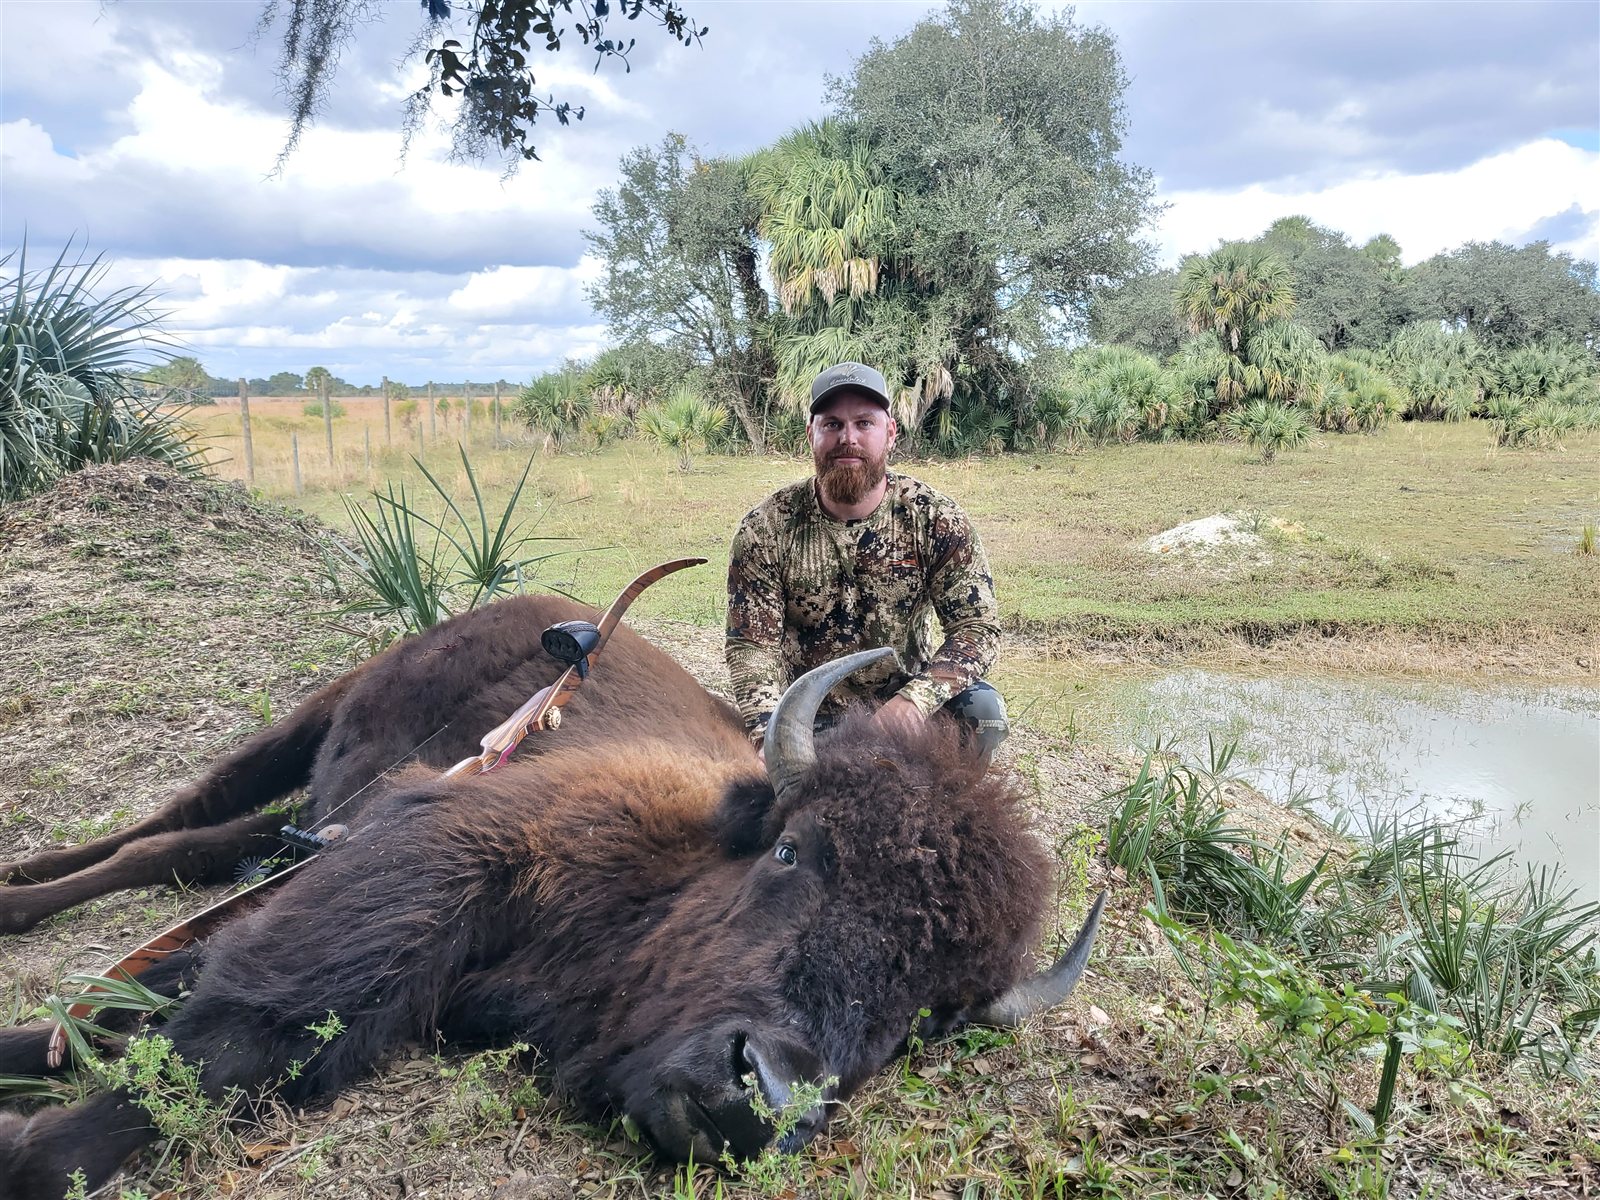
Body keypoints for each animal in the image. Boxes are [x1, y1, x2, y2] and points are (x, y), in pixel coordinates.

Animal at [0, 594, 1103, 1199]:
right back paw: (19, 893)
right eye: (794, 853)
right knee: (179, 822)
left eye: (927, 1019)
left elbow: (166, 1005)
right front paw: (30, 1141)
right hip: (321, 717)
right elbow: (244, 1030)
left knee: (204, 850)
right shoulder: (448, 852)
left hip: (313, 804)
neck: (683, 864)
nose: (764, 1099)